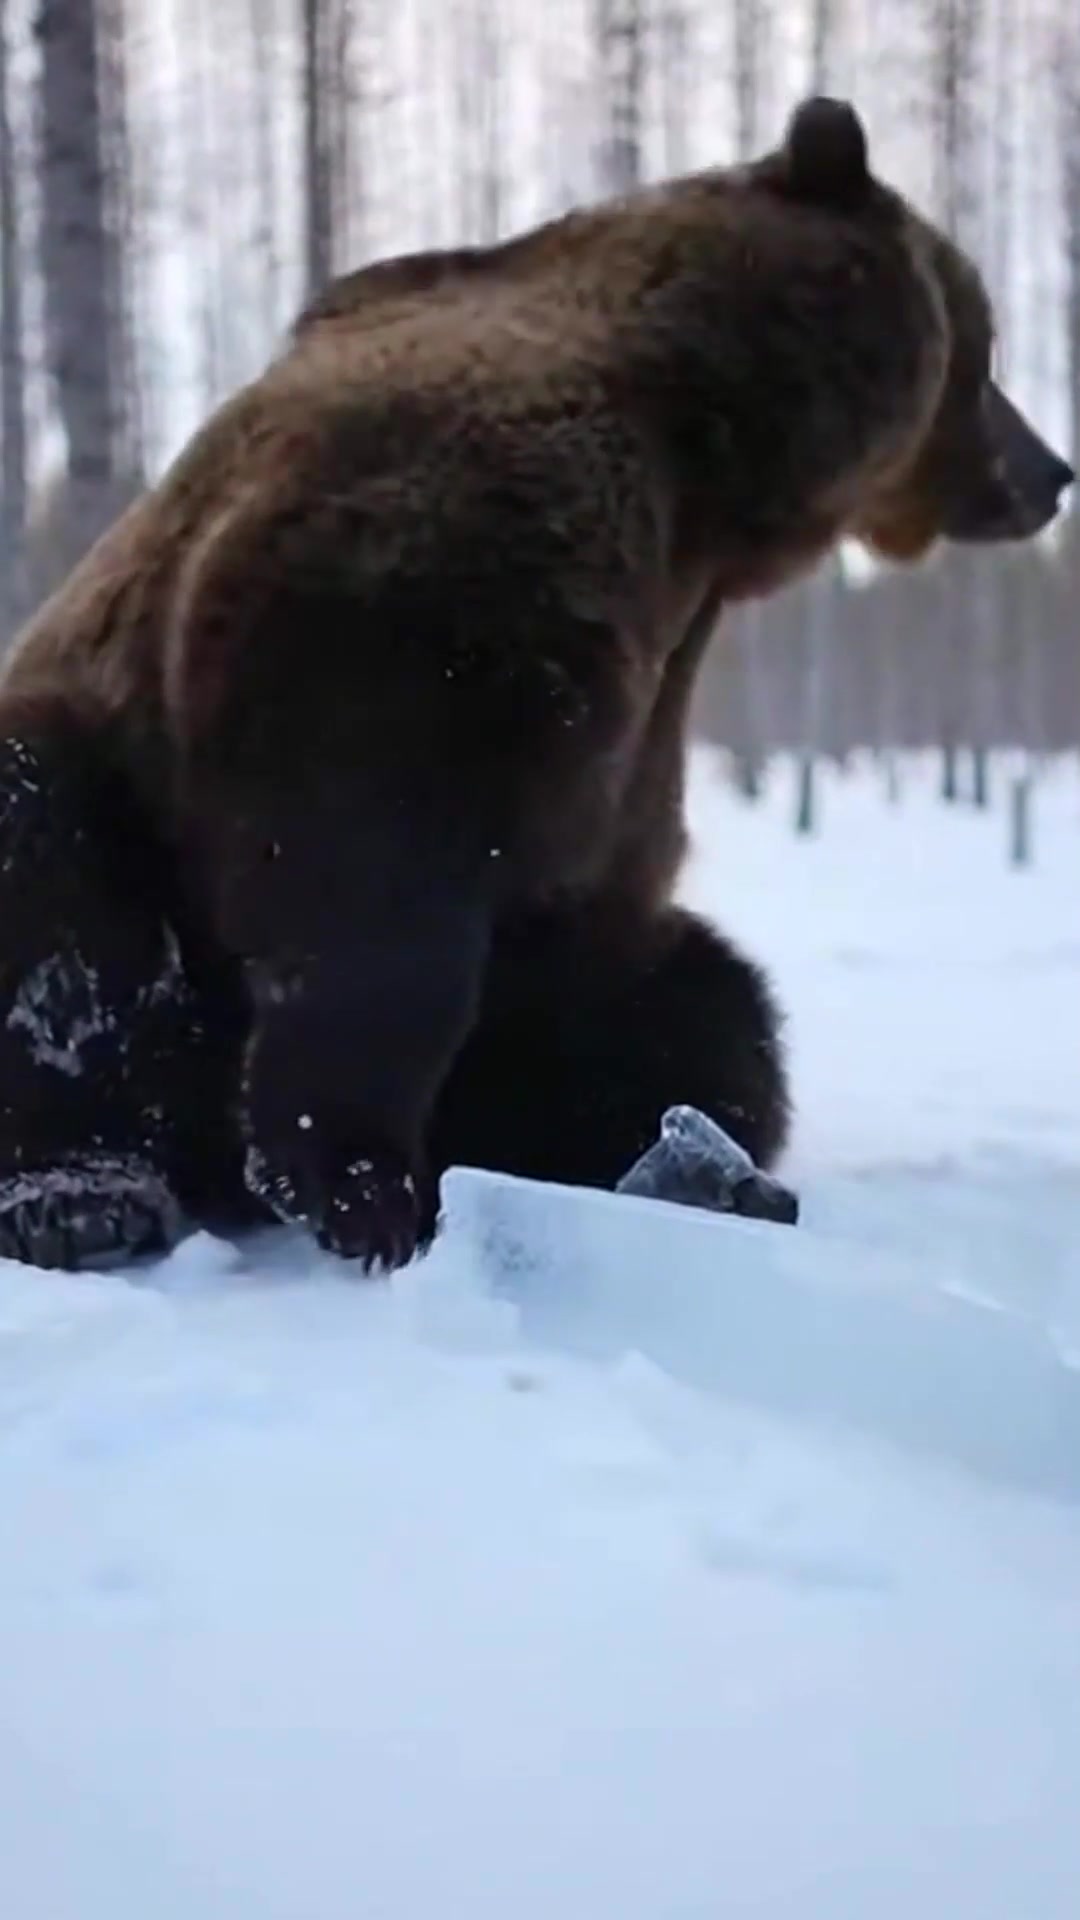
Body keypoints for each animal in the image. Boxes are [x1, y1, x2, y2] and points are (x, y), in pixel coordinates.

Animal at [0, 95, 1071, 1273]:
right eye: (985, 346)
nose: (1050, 469)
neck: (714, 454)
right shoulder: (431, 572)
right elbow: (367, 854)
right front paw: (356, 1182)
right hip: (103, 798)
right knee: (58, 902)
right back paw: (83, 1195)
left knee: (711, 1004)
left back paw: (696, 1166)